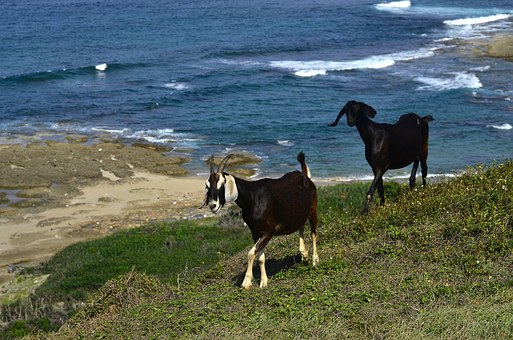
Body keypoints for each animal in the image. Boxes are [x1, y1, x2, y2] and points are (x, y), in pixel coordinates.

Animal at [199, 153, 316, 288]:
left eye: (222, 184)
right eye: (208, 186)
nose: (212, 205)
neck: (252, 197)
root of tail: (304, 175)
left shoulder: (268, 232)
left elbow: (250, 253)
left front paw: (247, 282)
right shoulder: (255, 233)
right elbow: (260, 257)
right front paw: (264, 282)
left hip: (313, 209)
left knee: (313, 233)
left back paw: (315, 260)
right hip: (299, 214)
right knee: (301, 227)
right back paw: (304, 254)